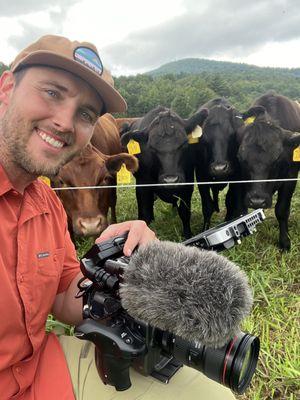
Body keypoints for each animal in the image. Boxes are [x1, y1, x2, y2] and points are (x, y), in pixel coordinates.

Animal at [120, 104, 207, 239]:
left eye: (184, 144)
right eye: (151, 148)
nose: (171, 180)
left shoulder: (187, 183)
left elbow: (185, 211)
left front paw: (188, 235)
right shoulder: (143, 185)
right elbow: (145, 213)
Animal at [191, 97, 245, 230]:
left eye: (231, 134)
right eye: (203, 137)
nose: (219, 168)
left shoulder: (238, 176)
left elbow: (232, 202)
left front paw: (229, 222)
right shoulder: (200, 175)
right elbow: (207, 206)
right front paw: (205, 228)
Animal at [237, 104, 300, 250]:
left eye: (277, 159)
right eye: (241, 159)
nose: (257, 201)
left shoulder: (291, 177)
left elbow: (282, 210)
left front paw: (285, 242)